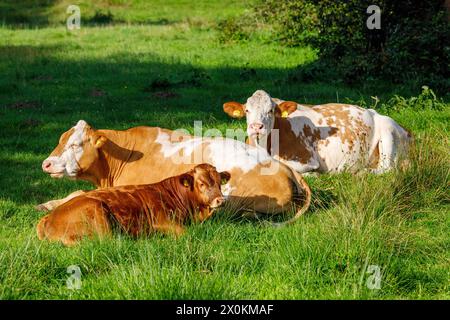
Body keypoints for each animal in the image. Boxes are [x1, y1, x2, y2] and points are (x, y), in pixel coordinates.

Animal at [36, 164, 229, 246]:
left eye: (220, 182)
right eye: (202, 183)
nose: (220, 200)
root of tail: (49, 218)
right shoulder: (162, 220)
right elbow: (186, 233)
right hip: (96, 209)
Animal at [38, 119, 310, 225]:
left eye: (75, 144)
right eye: (61, 140)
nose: (46, 164)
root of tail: (283, 165)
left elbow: (80, 194)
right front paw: (47, 203)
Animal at [221, 90, 412, 175]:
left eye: (271, 111)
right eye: (247, 110)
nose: (256, 126)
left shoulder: (307, 159)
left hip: (388, 132)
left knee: (387, 169)